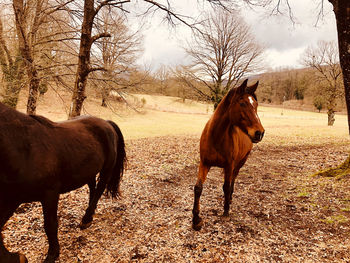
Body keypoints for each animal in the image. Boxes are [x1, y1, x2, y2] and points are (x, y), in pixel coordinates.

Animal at [0, 102, 127, 262]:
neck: (24, 148)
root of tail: (106, 123)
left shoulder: (50, 195)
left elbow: (50, 225)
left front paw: (52, 254)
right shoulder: (11, 199)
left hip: (107, 169)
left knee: (99, 189)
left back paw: (86, 218)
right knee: (93, 187)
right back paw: (89, 215)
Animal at [193, 79, 264, 231]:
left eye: (256, 105)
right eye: (242, 103)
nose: (259, 133)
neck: (216, 136)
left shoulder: (229, 166)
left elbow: (226, 186)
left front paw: (225, 211)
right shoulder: (204, 163)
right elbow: (198, 188)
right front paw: (196, 220)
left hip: (240, 163)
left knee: (233, 180)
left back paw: (229, 199)